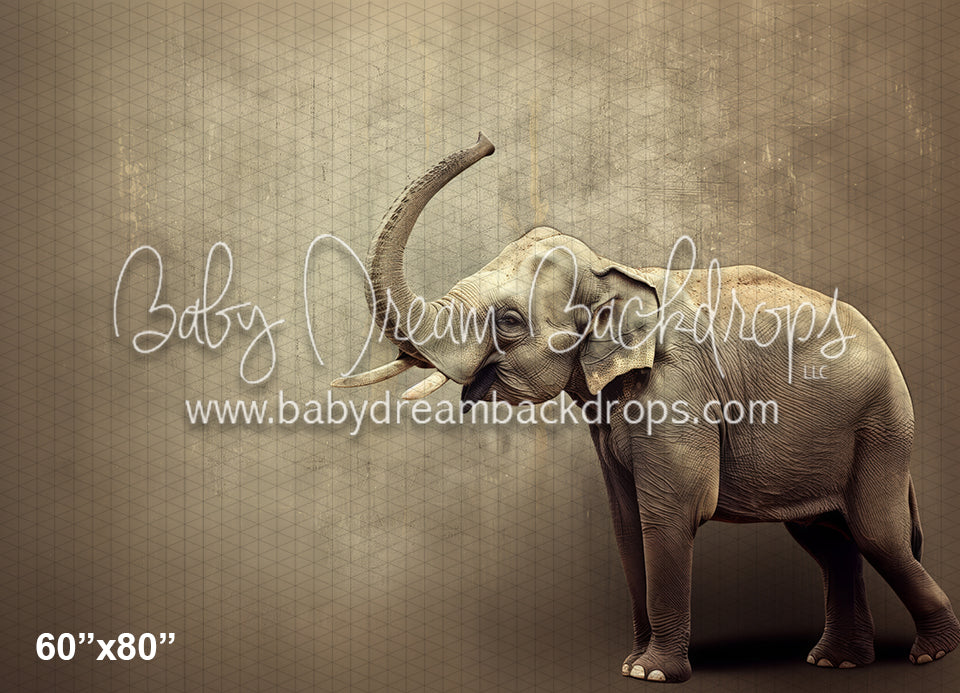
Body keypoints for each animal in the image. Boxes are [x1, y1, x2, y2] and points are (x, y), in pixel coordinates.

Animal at [331, 133, 960, 682]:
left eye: (508, 321)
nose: (487, 141)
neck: (615, 268)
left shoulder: (677, 394)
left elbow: (669, 514)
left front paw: (652, 673)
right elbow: (625, 521)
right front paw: (632, 665)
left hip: (881, 426)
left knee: (877, 535)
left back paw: (929, 655)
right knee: (828, 539)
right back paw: (838, 663)